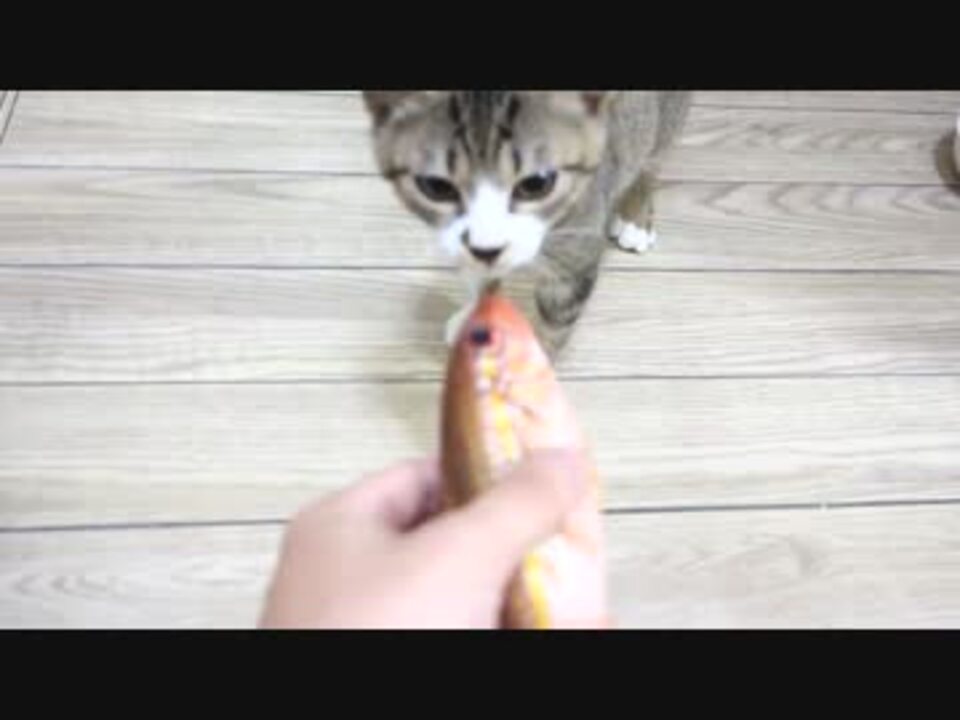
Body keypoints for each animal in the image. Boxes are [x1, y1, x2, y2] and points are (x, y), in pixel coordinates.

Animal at [362, 91, 691, 357]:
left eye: (538, 183)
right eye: (435, 186)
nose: (486, 244)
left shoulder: (573, 260)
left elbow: (554, 326)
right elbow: (479, 277)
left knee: (653, 158)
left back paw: (637, 215)